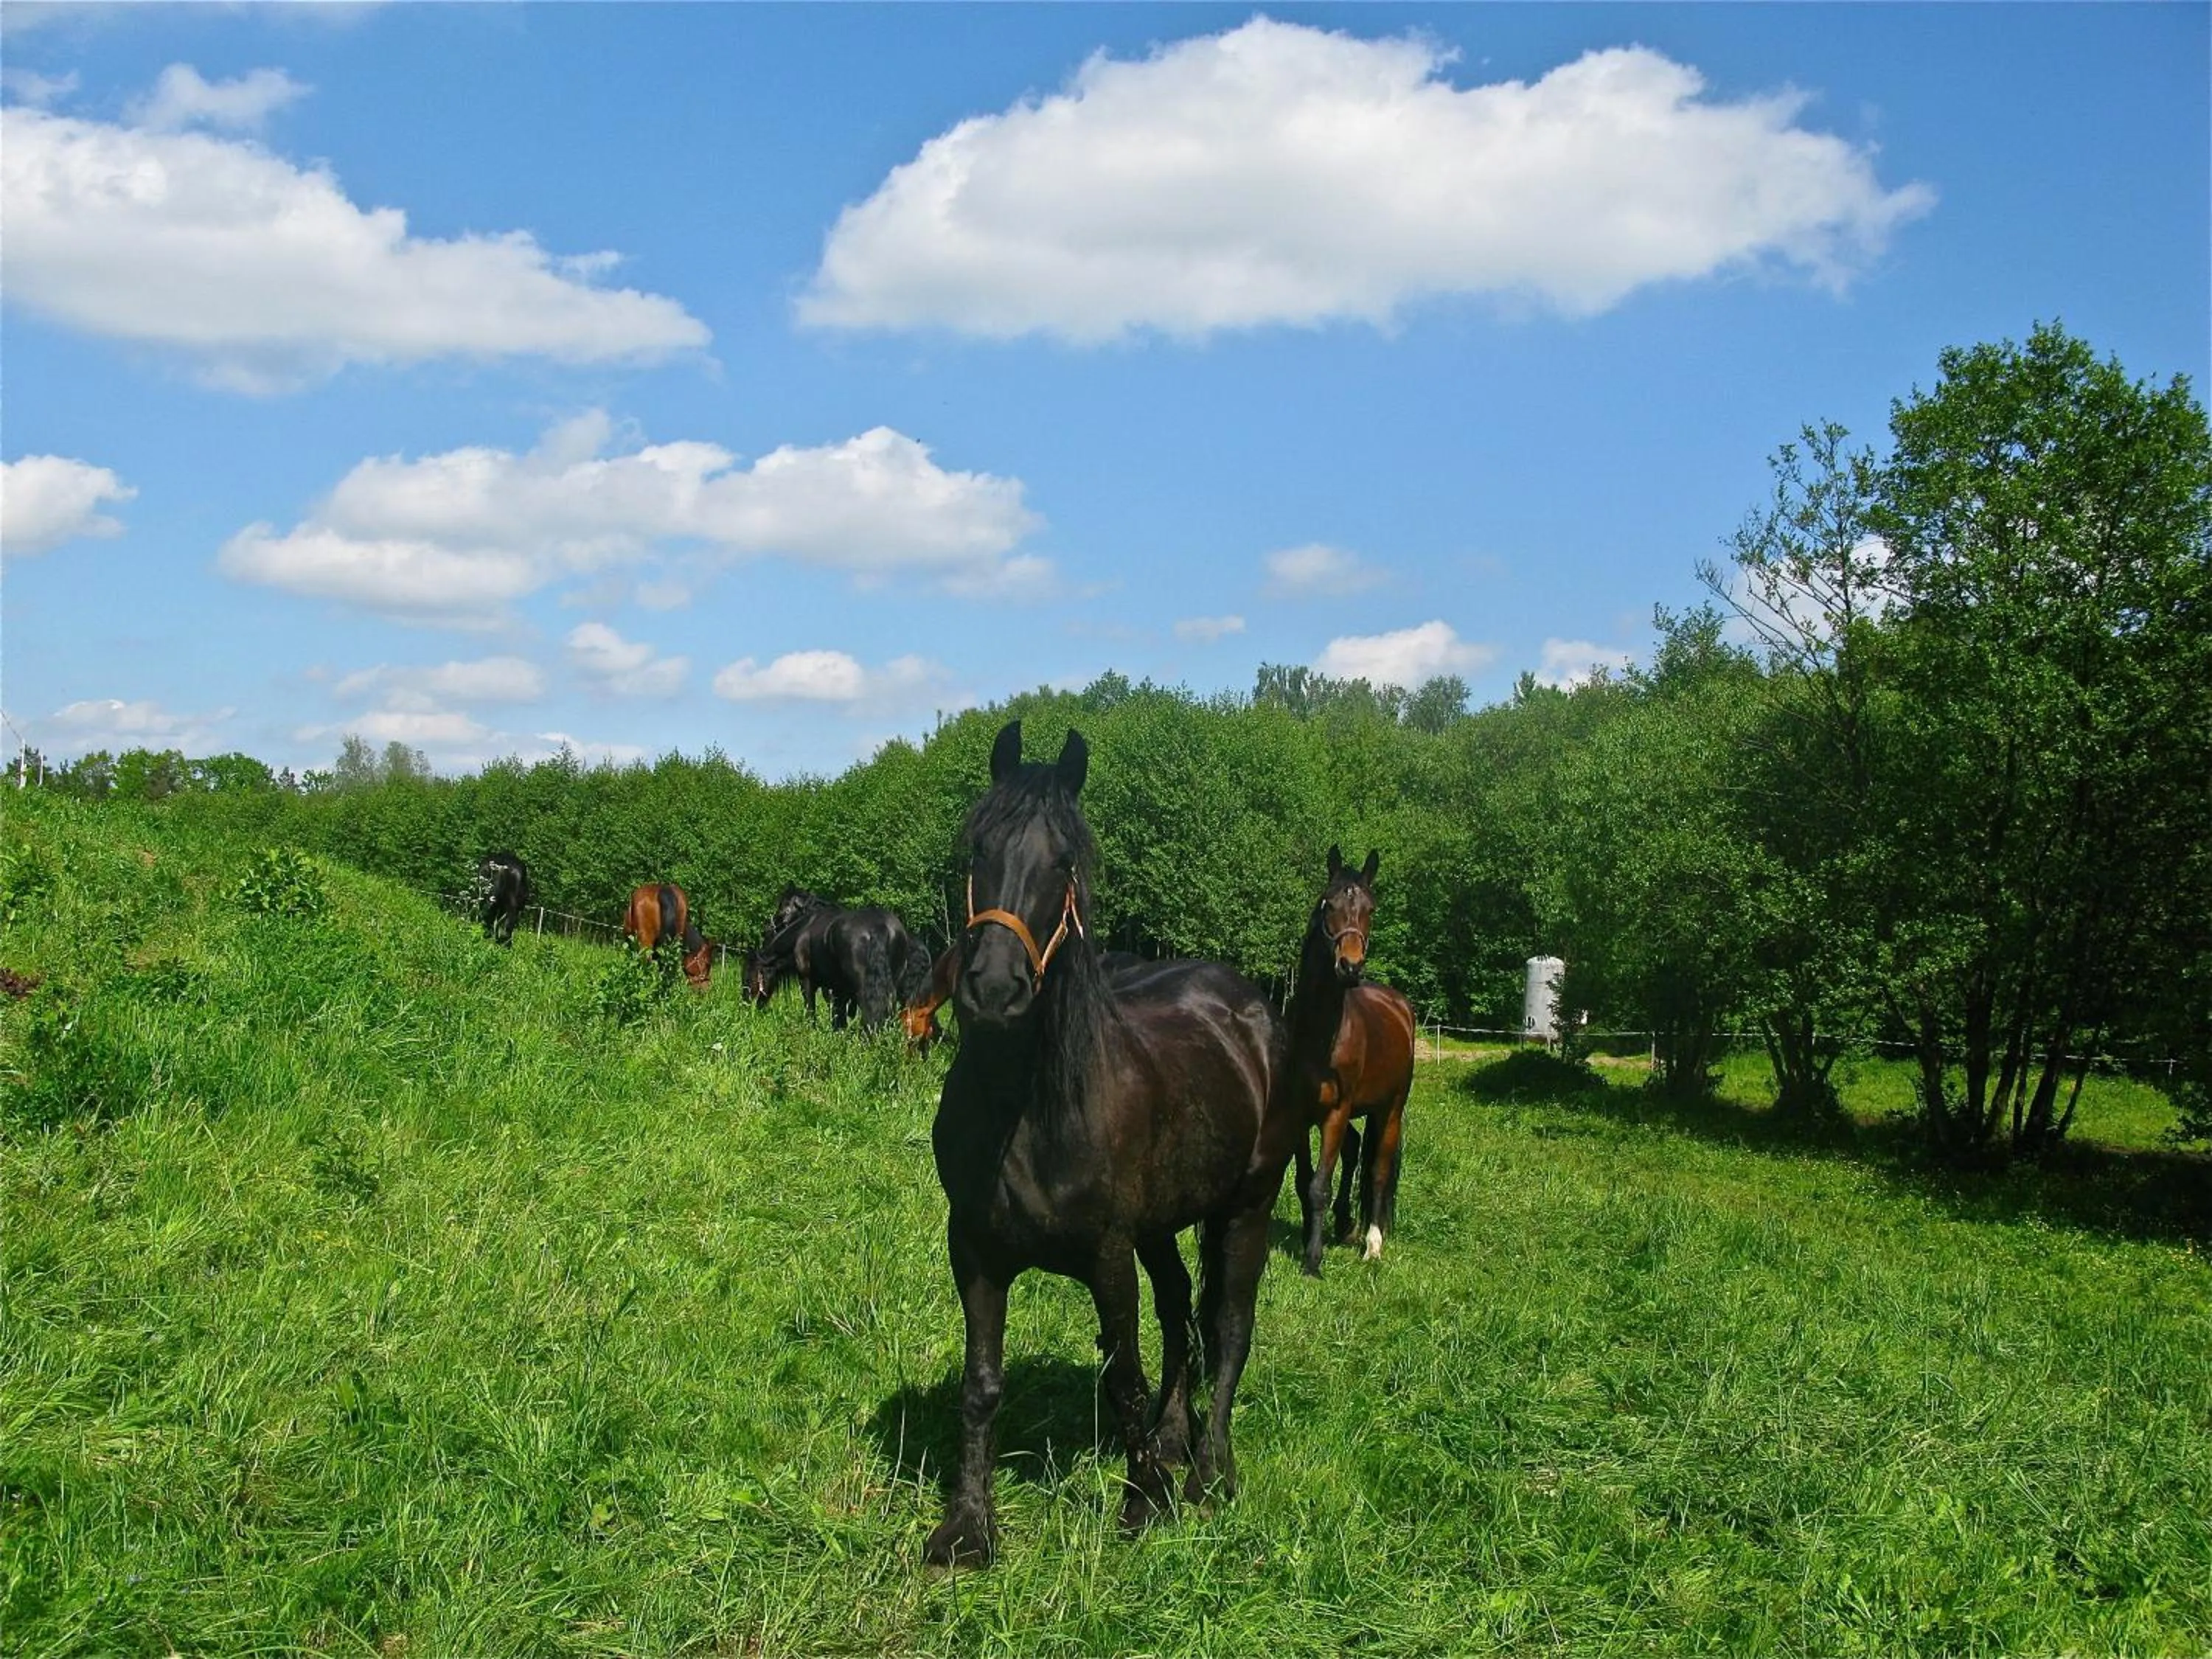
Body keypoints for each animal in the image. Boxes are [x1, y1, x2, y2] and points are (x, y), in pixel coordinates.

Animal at [924, 719, 1303, 1567]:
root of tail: (1252, 1010)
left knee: (1228, 1328)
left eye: (1064, 861)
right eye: (976, 848)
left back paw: (1207, 1473)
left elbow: (1124, 1375)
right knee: (1180, 1312)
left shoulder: (1106, 1254)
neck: (1025, 1111)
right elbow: (981, 1383)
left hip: (1247, 1210)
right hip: (1161, 1228)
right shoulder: (975, 1251)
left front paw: (1141, 1506)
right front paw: (968, 1527)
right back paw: (1170, 1442)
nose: (993, 990)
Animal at [1287, 847, 1417, 1275]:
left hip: (1389, 1110)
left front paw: (1312, 1260)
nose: (1350, 966)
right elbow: (1305, 1180)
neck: (1319, 1034)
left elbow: (1319, 1185)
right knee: (1356, 1148)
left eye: (1371, 909)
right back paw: (1344, 1225)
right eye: (1328, 904)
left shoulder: (1336, 1112)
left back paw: (1372, 1244)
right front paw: (1309, 1238)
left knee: (1377, 1169)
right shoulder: (1297, 1114)